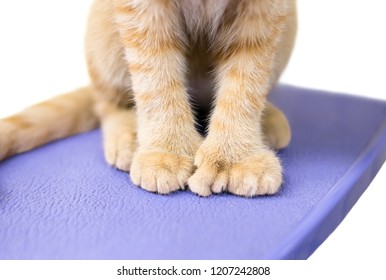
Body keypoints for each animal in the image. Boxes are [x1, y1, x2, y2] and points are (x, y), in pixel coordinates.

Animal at [0, 0, 298, 197]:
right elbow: (156, 75)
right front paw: (167, 151)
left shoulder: (267, 10)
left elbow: (247, 79)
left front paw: (234, 156)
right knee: (107, 103)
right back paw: (130, 137)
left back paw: (268, 120)